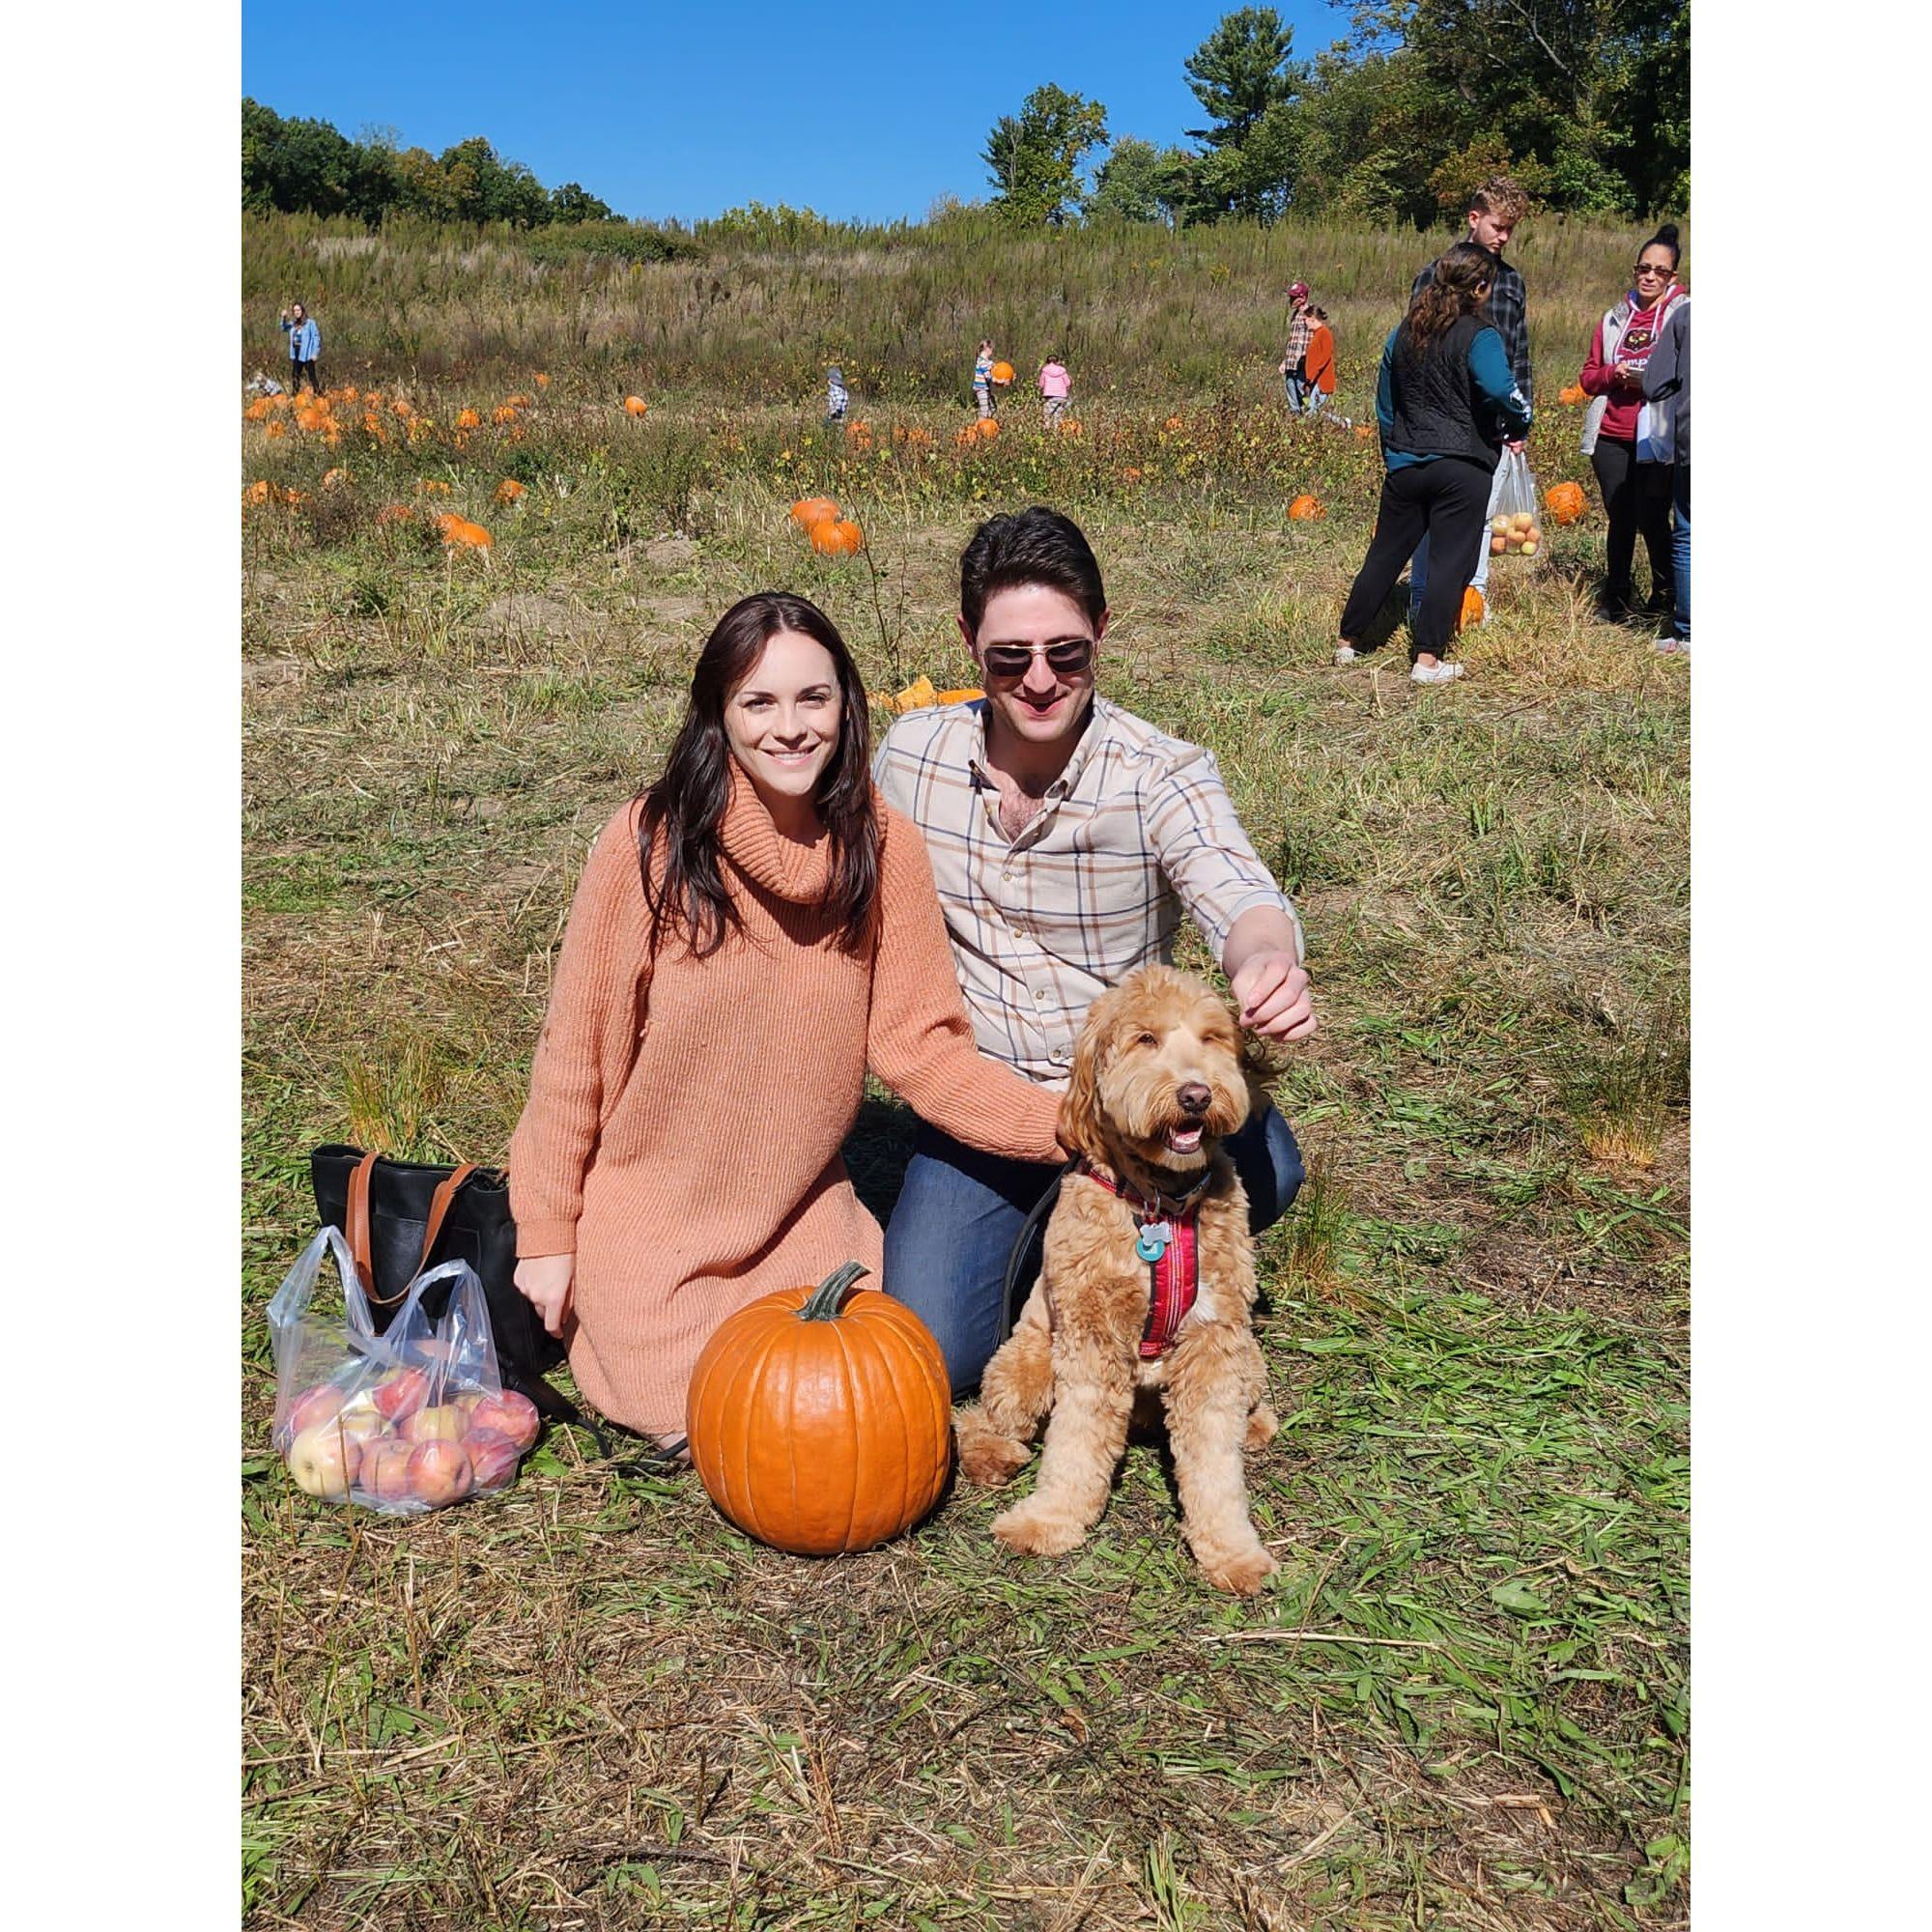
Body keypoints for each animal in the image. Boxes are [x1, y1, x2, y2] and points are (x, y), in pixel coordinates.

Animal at [954, 958, 1283, 1592]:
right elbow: (1075, 1443)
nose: (1196, 1094)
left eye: (1212, 1038)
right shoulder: (1091, 1338)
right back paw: (992, 1455)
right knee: (979, 1417)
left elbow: (1215, 1459)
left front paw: (1232, 1551)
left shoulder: (1215, 1341)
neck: (1161, 1202)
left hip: (1250, 1362)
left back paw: (1256, 1425)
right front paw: (1047, 1522)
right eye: (1145, 1039)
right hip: (1024, 1362)